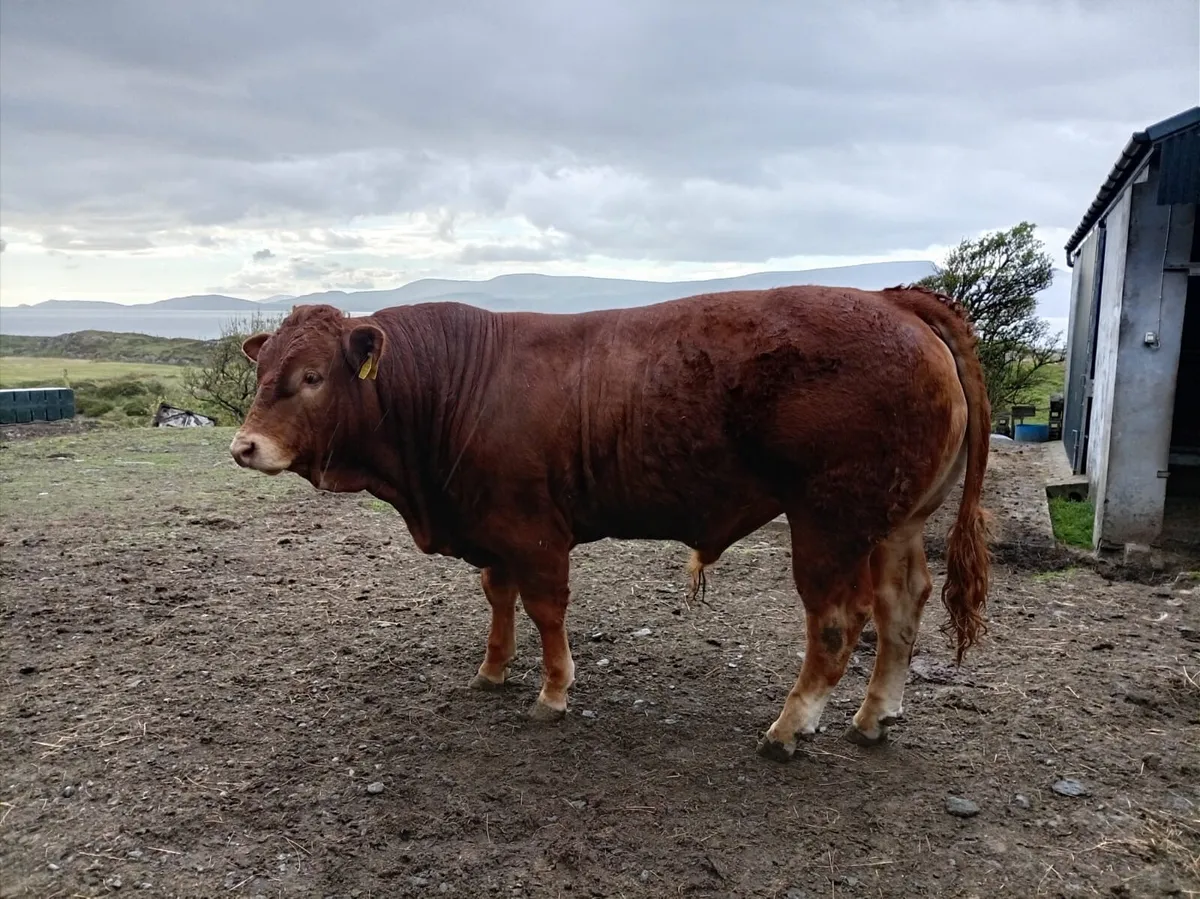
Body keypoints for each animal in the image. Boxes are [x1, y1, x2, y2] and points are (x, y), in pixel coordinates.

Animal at [229, 284, 990, 761]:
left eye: (311, 377)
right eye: (262, 372)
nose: (245, 446)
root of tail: (892, 299)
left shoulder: (534, 529)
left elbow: (545, 608)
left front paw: (553, 691)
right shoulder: (488, 524)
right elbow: (498, 597)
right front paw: (493, 669)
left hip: (830, 521)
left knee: (837, 623)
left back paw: (789, 727)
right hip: (897, 522)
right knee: (901, 607)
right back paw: (874, 716)